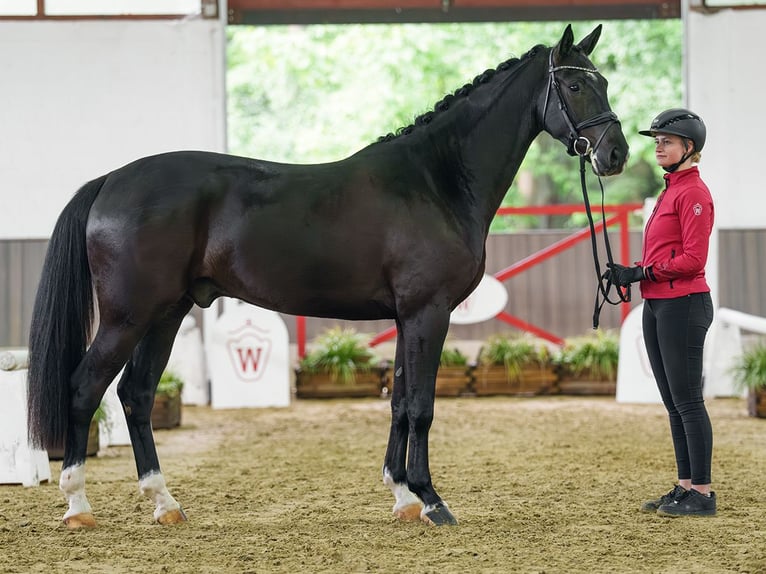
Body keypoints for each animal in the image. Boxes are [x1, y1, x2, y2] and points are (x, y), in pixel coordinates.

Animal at [27, 24, 628, 529]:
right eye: (575, 85)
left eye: (601, 82)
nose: (616, 154)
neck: (434, 180)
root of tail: (111, 180)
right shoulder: (428, 312)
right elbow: (422, 406)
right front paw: (433, 501)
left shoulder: (406, 317)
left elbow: (398, 401)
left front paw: (403, 496)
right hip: (130, 315)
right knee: (85, 387)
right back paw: (78, 504)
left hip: (167, 312)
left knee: (136, 392)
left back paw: (164, 503)